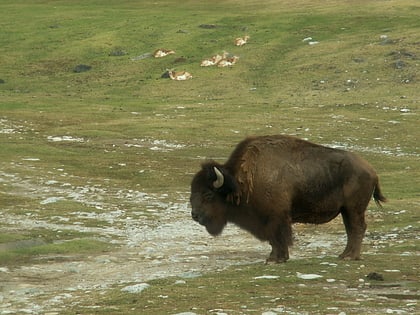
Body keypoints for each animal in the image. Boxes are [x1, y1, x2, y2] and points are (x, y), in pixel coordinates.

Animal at [190, 136, 388, 264]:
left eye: (208, 194)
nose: (195, 215)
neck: (241, 180)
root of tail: (371, 170)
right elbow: (274, 239)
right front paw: (273, 258)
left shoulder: (277, 217)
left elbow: (279, 237)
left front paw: (276, 259)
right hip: (346, 210)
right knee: (351, 230)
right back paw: (343, 255)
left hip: (354, 209)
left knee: (357, 228)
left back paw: (349, 256)